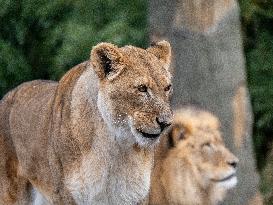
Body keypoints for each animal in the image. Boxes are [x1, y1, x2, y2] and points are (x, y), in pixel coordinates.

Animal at [0, 40, 172, 204]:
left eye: (167, 87)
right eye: (142, 88)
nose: (166, 123)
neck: (117, 147)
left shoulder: (136, 196)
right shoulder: (64, 194)